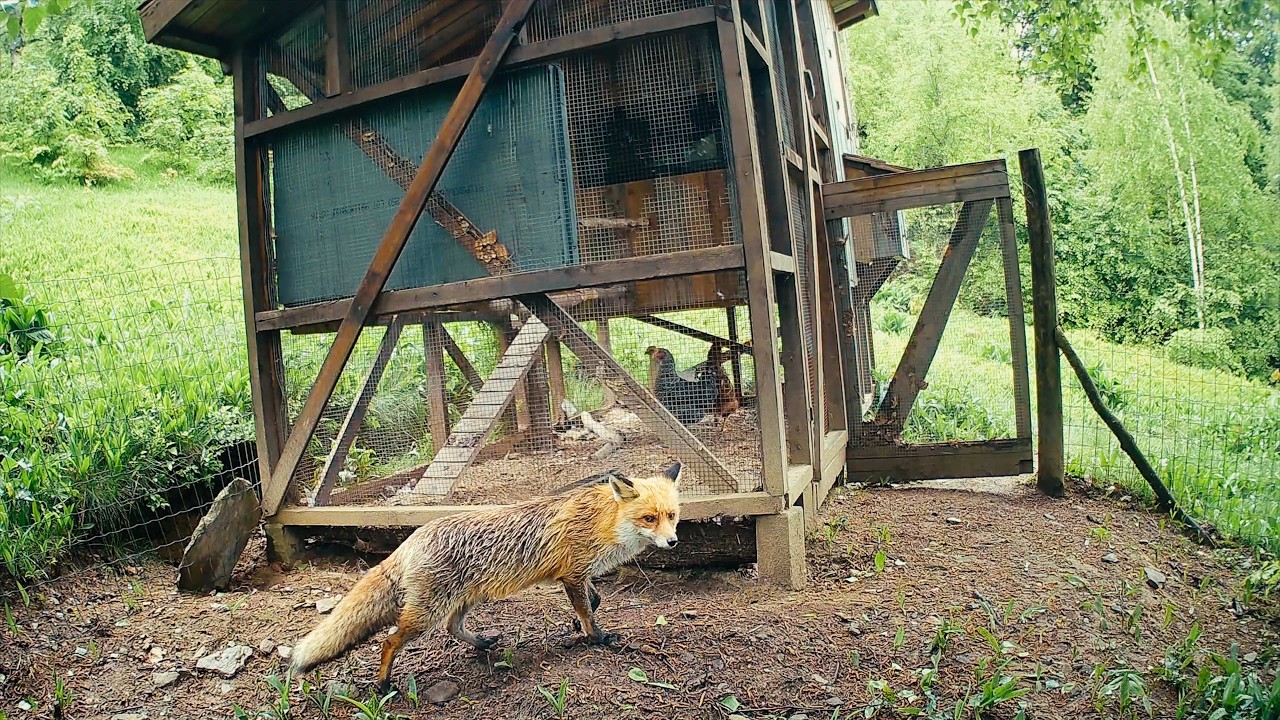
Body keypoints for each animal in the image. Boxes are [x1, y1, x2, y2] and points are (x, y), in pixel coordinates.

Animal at [289, 462, 683, 691]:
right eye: (649, 518)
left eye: (673, 515)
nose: (674, 542)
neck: (605, 522)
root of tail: (414, 537)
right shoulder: (572, 573)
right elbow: (587, 611)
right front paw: (596, 637)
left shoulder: (577, 574)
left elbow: (593, 599)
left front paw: (577, 624)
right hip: (425, 614)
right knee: (389, 641)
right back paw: (384, 683)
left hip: (466, 599)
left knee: (452, 627)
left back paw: (481, 644)